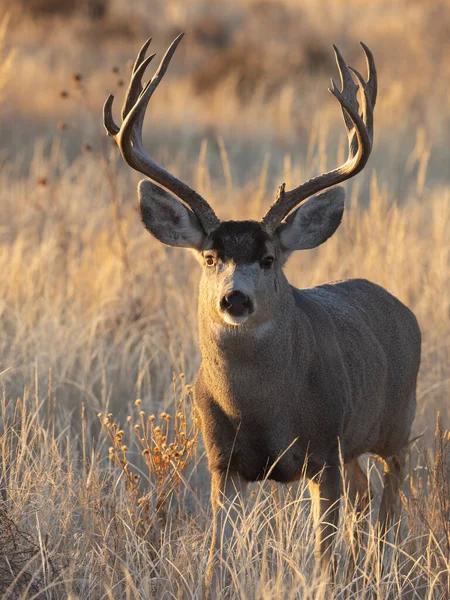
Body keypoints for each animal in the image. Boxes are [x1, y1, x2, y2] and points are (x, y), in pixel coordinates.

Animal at [103, 35, 422, 580]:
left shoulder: (323, 451)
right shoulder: (222, 462)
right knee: (364, 495)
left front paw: (327, 581)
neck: (261, 408)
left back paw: (380, 566)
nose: (235, 297)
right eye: (210, 257)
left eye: (269, 258)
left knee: (389, 501)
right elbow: (217, 553)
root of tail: (400, 307)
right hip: (355, 445)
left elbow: (322, 557)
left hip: (396, 423)